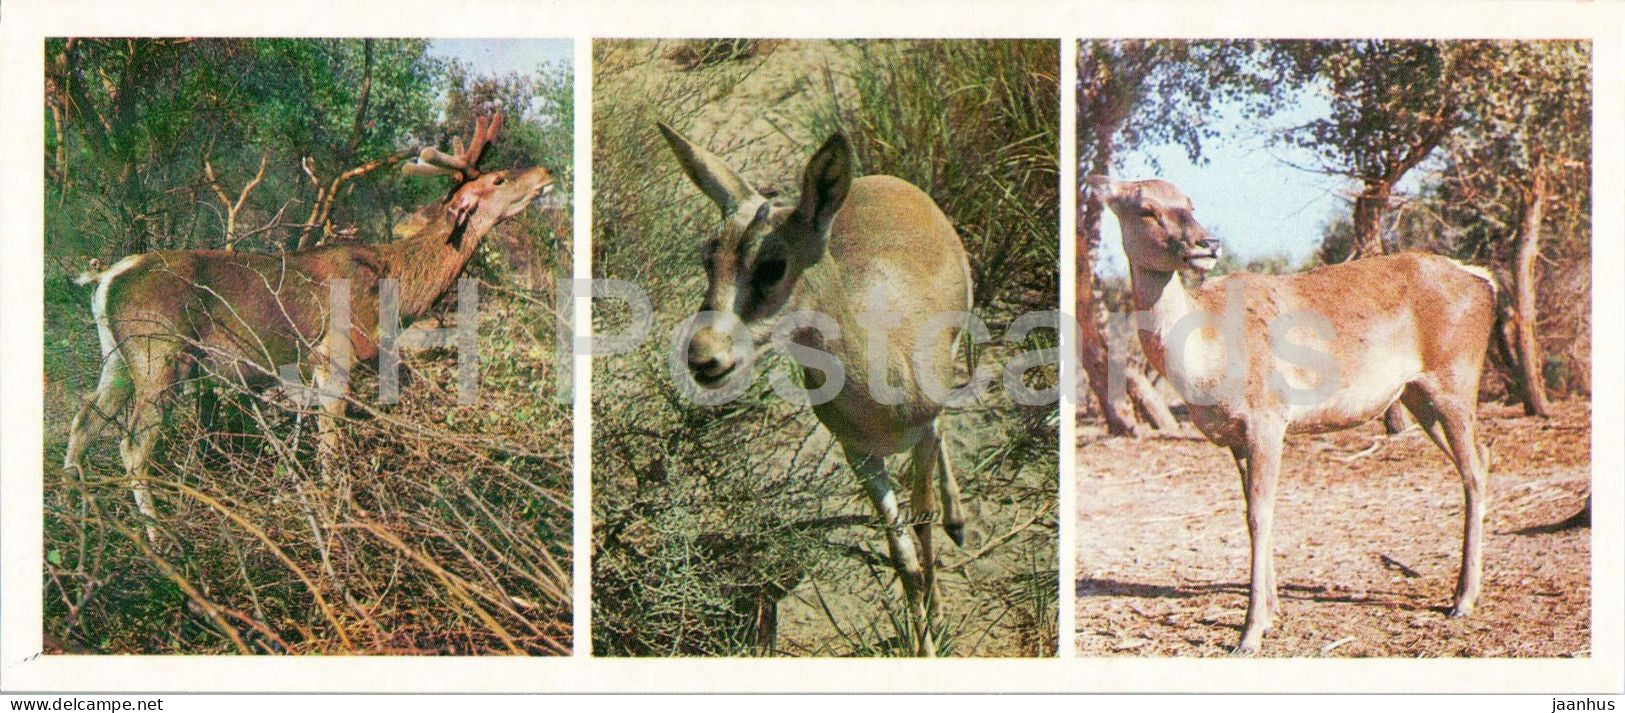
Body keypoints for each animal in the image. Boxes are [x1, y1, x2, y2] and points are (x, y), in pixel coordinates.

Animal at [63, 112, 554, 543]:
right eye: (499, 180)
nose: (547, 170)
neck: (393, 285)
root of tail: (107, 277)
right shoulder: (333, 354)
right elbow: (331, 449)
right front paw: (337, 520)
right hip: (159, 352)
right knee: (131, 445)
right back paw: (157, 539)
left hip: (118, 360)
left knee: (83, 420)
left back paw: (77, 516)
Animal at [658, 123, 974, 656]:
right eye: (708, 257)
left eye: (772, 265)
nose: (703, 357)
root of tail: (887, 181)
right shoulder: (859, 455)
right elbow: (904, 561)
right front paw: (922, 641)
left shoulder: (921, 435)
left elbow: (922, 526)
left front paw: (939, 624)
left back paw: (958, 520)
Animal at [1086, 176, 1497, 655]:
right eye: (1146, 208)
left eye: (1189, 203)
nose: (1208, 242)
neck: (1207, 360)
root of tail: (1485, 281)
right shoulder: (1235, 438)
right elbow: (1250, 510)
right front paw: (1272, 611)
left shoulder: (1267, 417)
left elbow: (1259, 514)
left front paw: (1250, 631)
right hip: (1418, 395)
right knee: (1480, 459)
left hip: (1456, 379)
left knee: (1474, 470)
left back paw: (1463, 599)